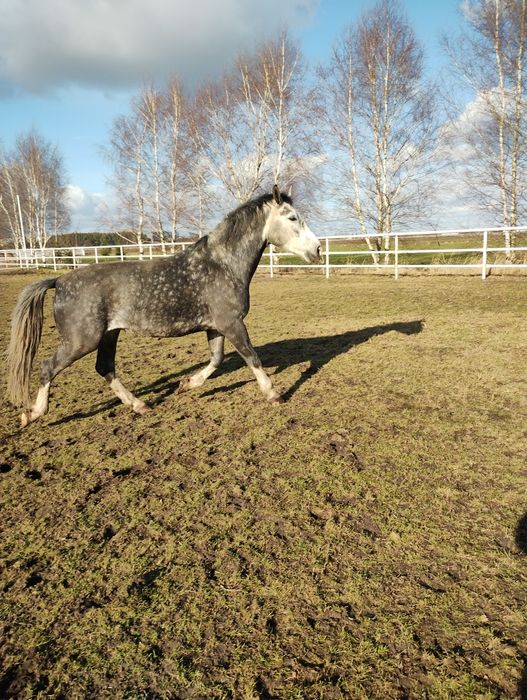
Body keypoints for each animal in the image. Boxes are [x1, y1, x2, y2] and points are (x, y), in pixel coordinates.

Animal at [7, 186, 322, 424]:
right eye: (292, 218)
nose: (317, 249)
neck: (222, 265)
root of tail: (59, 281)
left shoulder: (216, 326)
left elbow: (217, 360)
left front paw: (187, 385)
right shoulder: (232, 323)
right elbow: (251, 357)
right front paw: (274, 394)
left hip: (108, 335)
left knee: (104, 367)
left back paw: (140, 405)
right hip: (81, 340)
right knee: (48, 367)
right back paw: (32, 414)